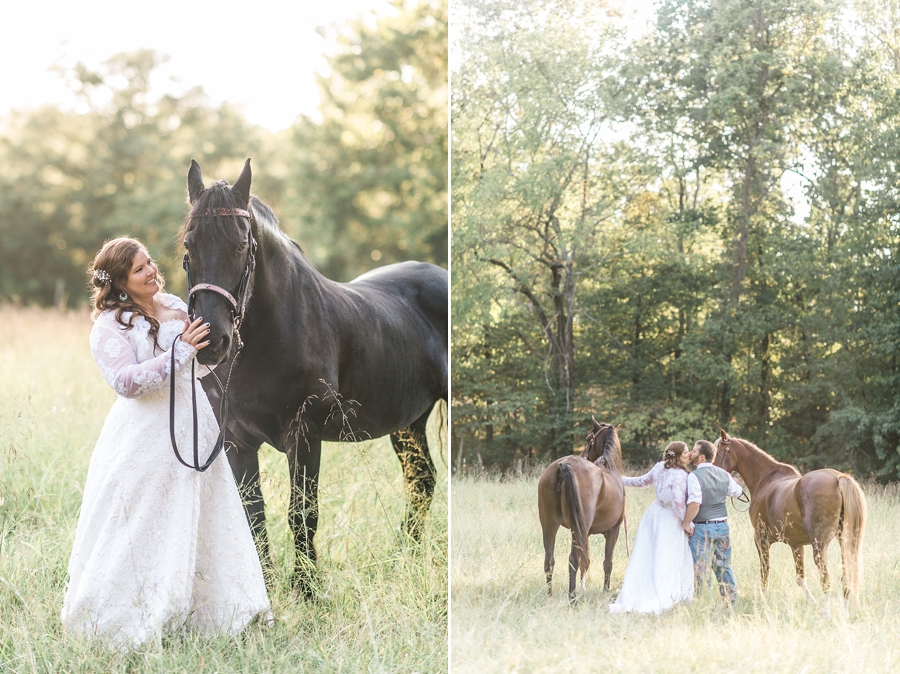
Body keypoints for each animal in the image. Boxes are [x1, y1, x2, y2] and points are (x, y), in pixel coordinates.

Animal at [181, 159, 448, 592]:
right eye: (189, 247)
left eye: (241, 246)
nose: (211, 341)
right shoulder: (236, 440)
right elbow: (254, 515)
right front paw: (268, 587)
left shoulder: (304, 433)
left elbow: (302, 513)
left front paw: (307, 590)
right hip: (410, 422)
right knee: (421, 480)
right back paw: (401, 559)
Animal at [536, 418, 624, 600]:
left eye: (588, 438)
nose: (584, 454)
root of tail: (564, 466)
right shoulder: (614, 530)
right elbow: (607, 563)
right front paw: (605, 591)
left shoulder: (586, 533)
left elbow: (586, 561)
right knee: (573, 559)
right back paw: (573, 598)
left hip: (549, 524)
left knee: (549, 560)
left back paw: (550, 596)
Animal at [716, 428, 864, 612]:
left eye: (720, 451)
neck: (765, 479)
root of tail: (838, 478)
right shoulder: (796, 544)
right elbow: (800, 578)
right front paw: (811, 601)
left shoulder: (761, 539)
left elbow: (764, 572)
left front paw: (763, 599)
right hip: (844, 542)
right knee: (846, 576)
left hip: (820, 546)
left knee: (826, 579)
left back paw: (826, 612)